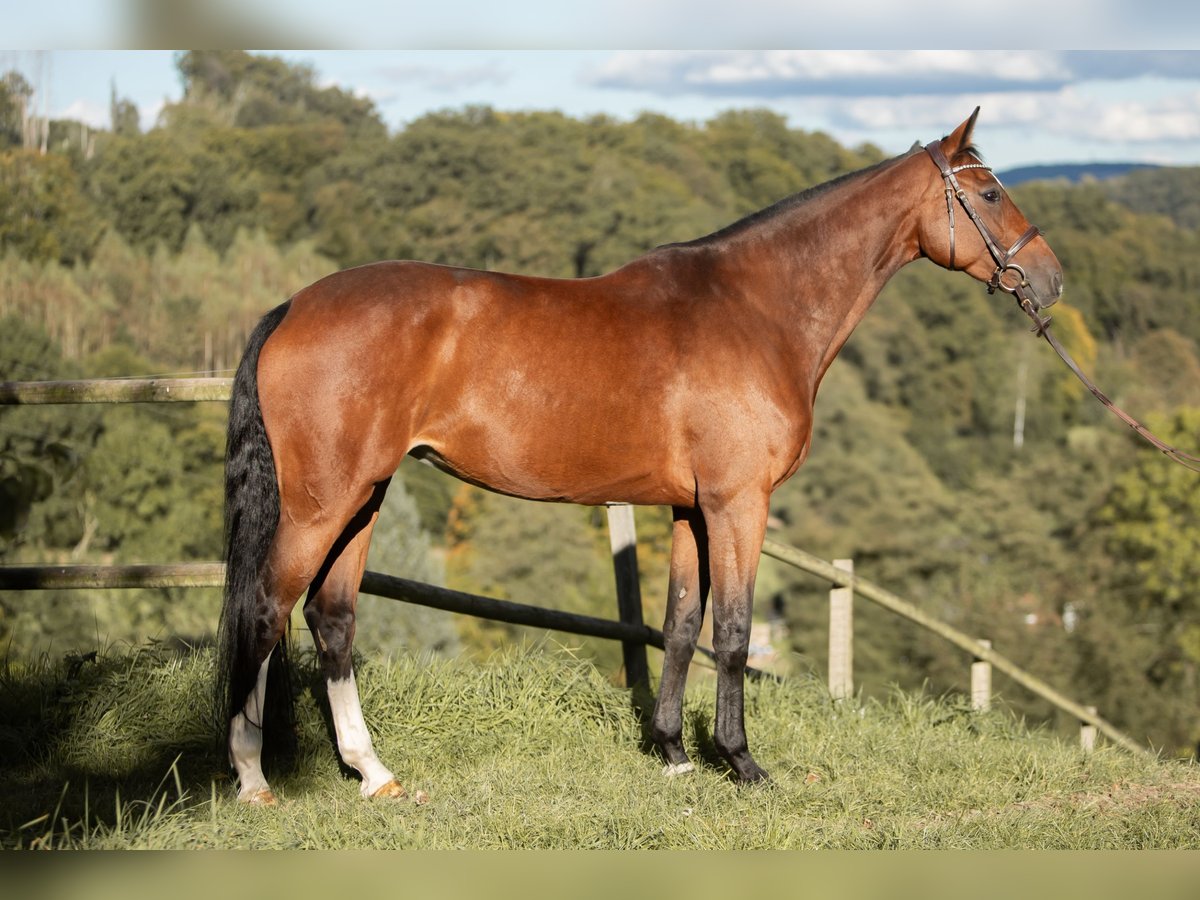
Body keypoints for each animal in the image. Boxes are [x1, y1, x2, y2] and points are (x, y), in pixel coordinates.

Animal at [216, 109, 1060, 806]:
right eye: (989, 193)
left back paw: (372, 772)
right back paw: (253, 777)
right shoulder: (738, 503)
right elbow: (734, 631)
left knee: (331, 618)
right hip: (324, 503)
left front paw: (673, 753)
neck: (756, 310)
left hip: (364, 496)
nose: (1050, 278)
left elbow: (681, 624)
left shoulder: (690, 507)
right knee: (264, 608)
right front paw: (741, 762)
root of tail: (293, 306)